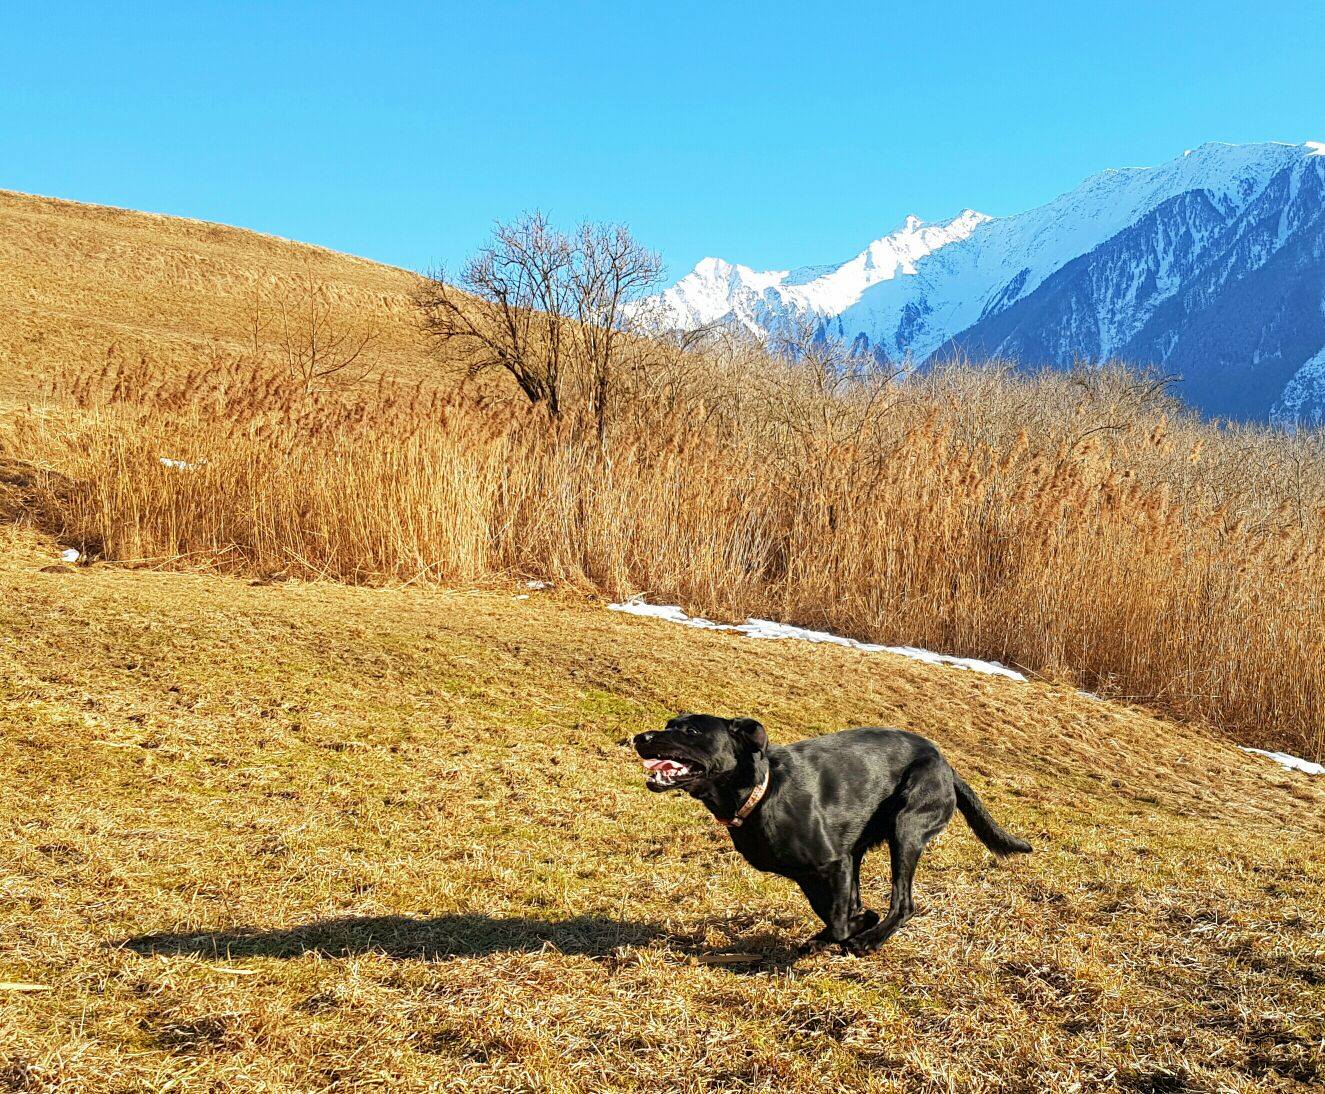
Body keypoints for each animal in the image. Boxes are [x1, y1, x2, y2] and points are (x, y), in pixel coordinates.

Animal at [636, 709, 1028, 948]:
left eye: (691, 730)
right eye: (670, 723)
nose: (640, 737)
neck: (762, 790)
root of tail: (946, 764)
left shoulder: (833, 862)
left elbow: (841, 921)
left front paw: (858, 926)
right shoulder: (823, 870)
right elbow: (834, 910)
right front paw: (839, 929)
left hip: (907, 828)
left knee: (904, 903)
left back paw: (870, 939)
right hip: (864, 847)